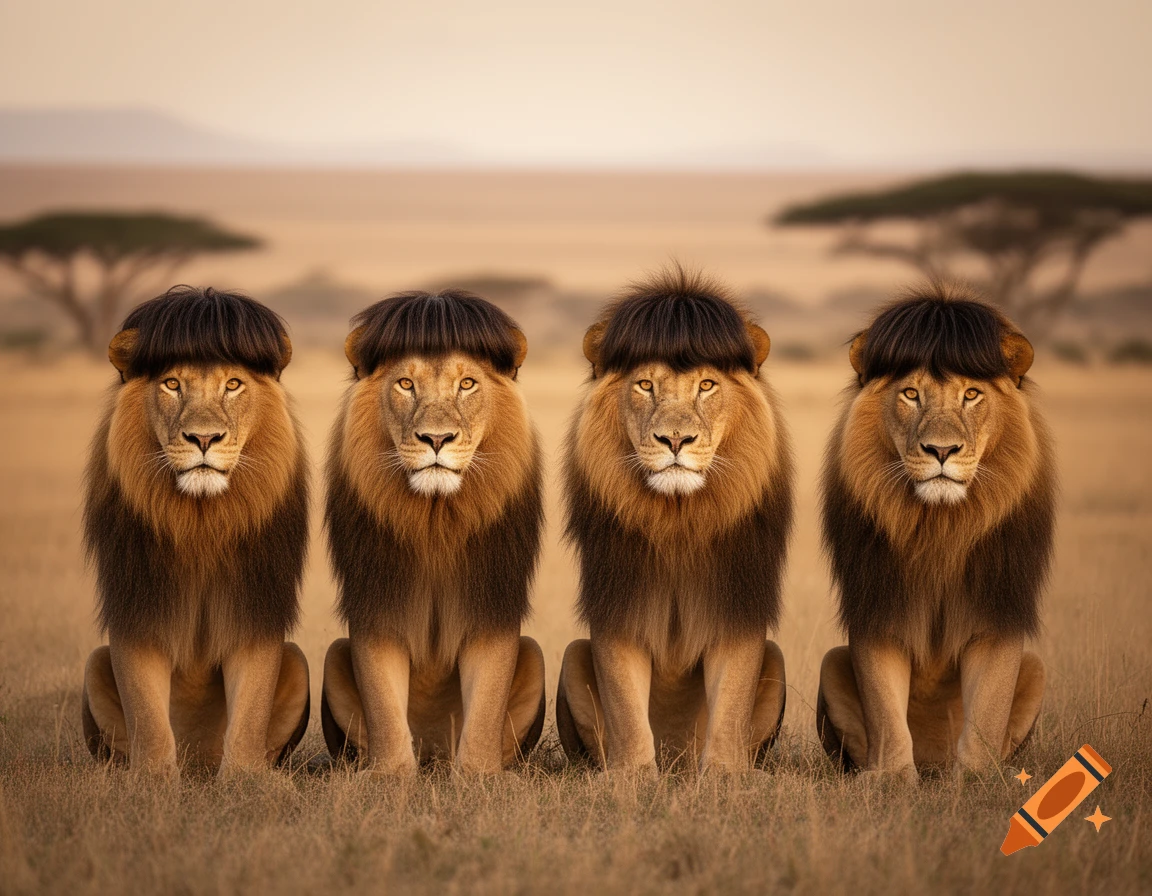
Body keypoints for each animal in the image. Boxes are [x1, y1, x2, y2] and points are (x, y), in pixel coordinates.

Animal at [81, 286, 311, 778]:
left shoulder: (254, 608)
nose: (203, 439)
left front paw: (245, 780)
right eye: (172, 384)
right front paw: (151, 780)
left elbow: (250, 708)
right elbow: (146, 713)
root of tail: (199, 762)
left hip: (298, 660)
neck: (199, 521)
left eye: (233, 384)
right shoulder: (137, 607)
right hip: (94, 664)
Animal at [320, 289, 546, 775]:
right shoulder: (377, 604)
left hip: (534, 655)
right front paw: (390, 776)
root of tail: (434, 756)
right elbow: (383, 705)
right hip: (332, 657)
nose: (437, 439)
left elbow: (486, 704)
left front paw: (480, 777)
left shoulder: (491, 603)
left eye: (468, 384)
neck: (436, 519)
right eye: (406, 384)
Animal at [555, 269, 794, 775]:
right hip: (571, 655)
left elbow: (731, 700)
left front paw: (724, 775)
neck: (678, 520)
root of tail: (677, 762)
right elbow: (625, 706)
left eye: (706, 385)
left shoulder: (737, 605)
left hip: (777, 659)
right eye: (646, 385)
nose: (676, 439)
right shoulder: (619, 606)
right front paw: (632, 775)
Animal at [815, 285, 1055, 782]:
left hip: (1036, 668)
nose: (941, 451)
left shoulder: (998, 609)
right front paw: (890, 779)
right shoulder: (878, 609)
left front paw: (978, 779)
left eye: (971, 394)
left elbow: (988, 708)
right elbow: (885, 708)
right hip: (831, 663)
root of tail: (934, 763)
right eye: (911, 393)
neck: (941, 526)